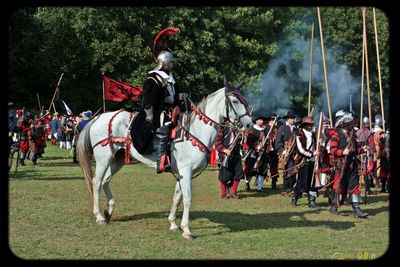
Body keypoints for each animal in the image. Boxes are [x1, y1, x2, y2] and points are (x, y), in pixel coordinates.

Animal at [76, 81, 253, 241]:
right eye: (235, 101)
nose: (249, 125)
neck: (195, 132)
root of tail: (99, 118)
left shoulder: (181, 174)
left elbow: (177, 197)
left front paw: (174, 224)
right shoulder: (186, 172)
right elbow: (187, 199)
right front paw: (186, 230)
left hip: (116, 159)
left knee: (106, 180)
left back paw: (109, 211)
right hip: (103, 158)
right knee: (97, 182)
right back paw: (99, 216)